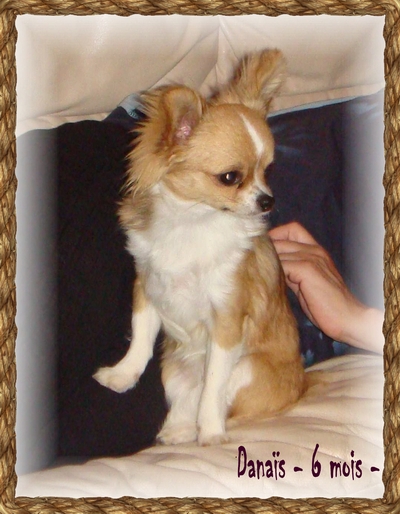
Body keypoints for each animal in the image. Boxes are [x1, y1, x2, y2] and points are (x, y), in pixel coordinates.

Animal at [94, 49, 306, 446]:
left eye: (267, 171)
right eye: (230, 178)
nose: (267, 201)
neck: (193, 221)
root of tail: (303, 385)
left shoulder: (226, 319)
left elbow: (213, 388)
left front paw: (210, 433)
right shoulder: (148, 287)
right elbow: (141, 338)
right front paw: (123, 375)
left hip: (248, 368)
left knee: (225, 402)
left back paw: (204, 429)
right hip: (175, 372)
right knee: (184, 400)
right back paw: (176, 431)